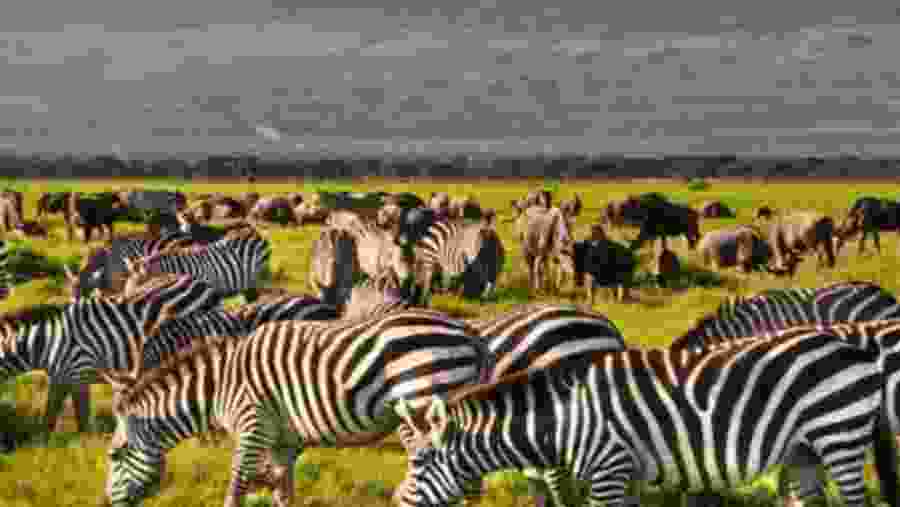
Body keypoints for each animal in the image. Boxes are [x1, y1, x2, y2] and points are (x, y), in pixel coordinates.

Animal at [0, 274, 222, 436]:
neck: (48, 340)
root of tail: (204, 284)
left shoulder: (78, 373)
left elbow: (80, 418)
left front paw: (83, 449)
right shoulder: (62, 377)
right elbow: (50, 416)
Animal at [98, 309, 495, 507]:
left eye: (115, 455)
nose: (108, 503)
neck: (218, 386)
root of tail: (467, 331)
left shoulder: (252, 425)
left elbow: (237, 485)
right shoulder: (282, 441)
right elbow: (282, 490)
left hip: (424, 400)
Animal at [395, 329, 896, 507]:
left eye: (419, 463)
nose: (398, 506)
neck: (565, 418)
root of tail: (857, 349)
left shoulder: (608, 469)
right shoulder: (627, 474)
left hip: (838, 434)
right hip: (804, 450)